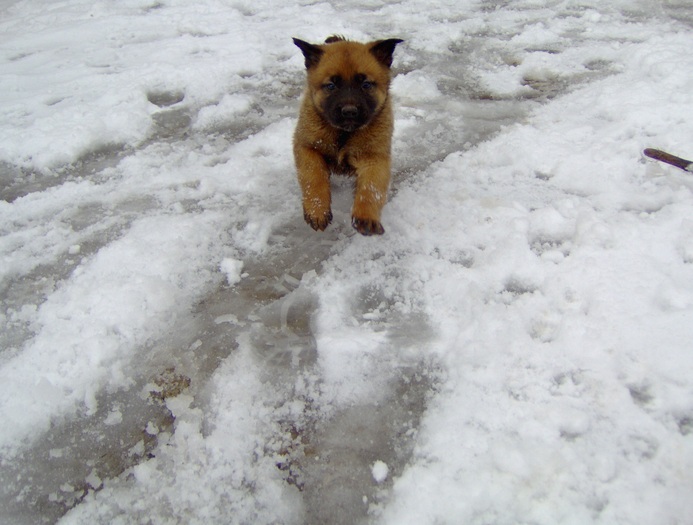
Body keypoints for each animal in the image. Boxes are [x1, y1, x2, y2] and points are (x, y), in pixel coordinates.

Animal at [290, 35, 400, 234]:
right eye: (331, 85)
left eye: (366, 84)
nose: (349, 112)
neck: (343, 134)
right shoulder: (306, 146)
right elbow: (313, 176)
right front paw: (317, 210)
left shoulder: (375, 157)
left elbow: (371, 187)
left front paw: (366, 217)